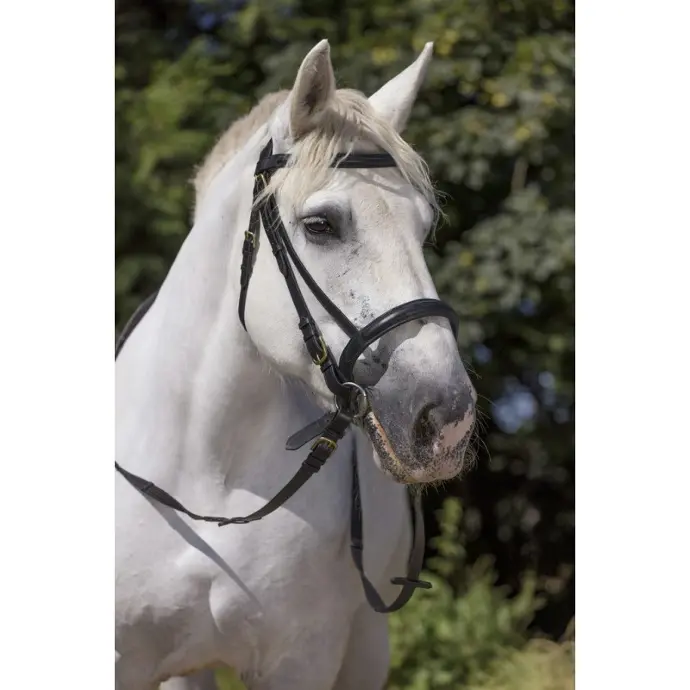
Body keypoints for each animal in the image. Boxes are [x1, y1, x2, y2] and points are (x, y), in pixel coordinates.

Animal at [116, 39, 476, 690]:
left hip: (367, 647)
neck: (210, 478)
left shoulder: (301, 661)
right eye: (320, 225)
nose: (447, 417)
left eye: (424, 230)